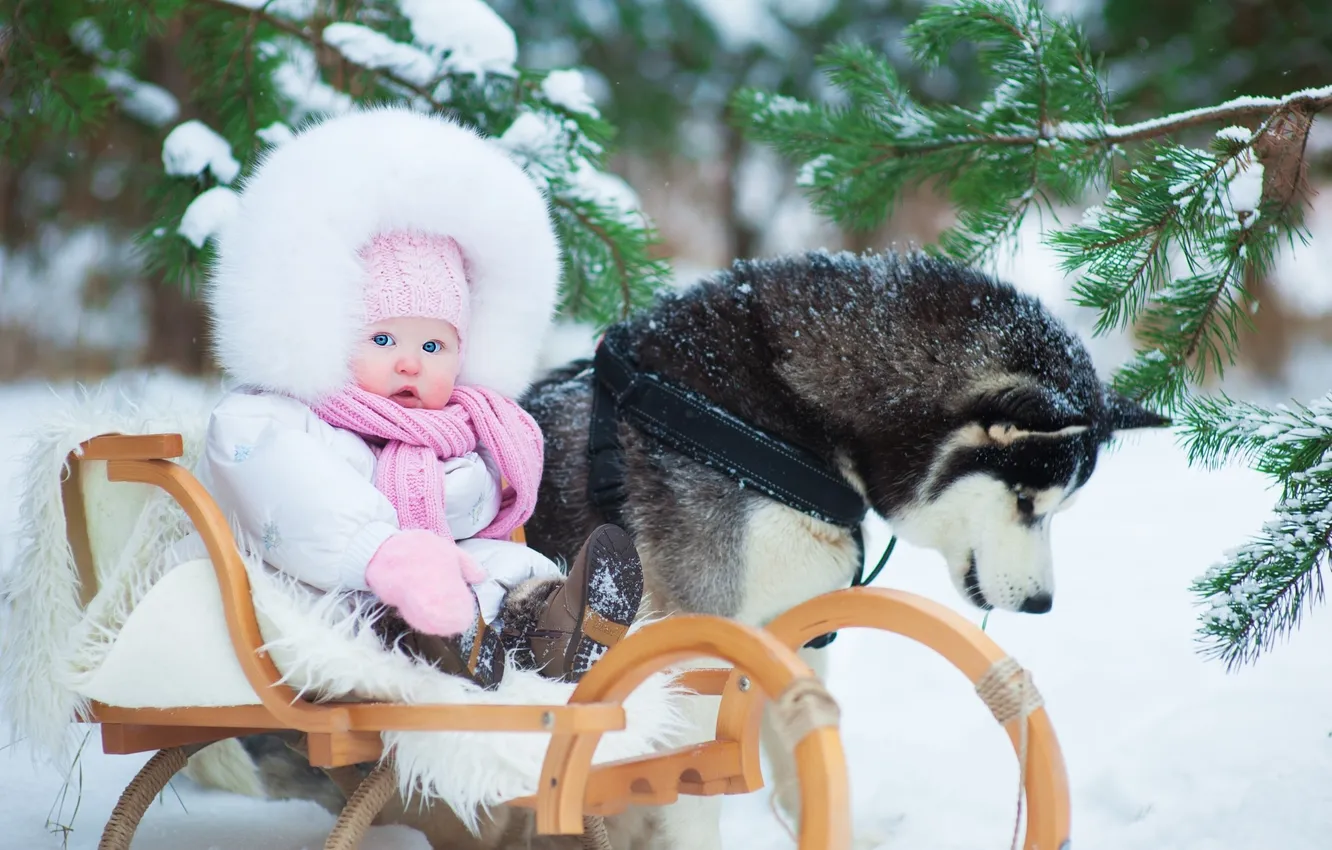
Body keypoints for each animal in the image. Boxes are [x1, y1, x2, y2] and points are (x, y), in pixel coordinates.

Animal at [223, 250, 1161, 847]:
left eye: (1062, 508)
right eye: (1030, 502)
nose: (1040, 603)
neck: (780, 411)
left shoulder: (795, 637)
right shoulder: (701, 643)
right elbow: (692, 781)